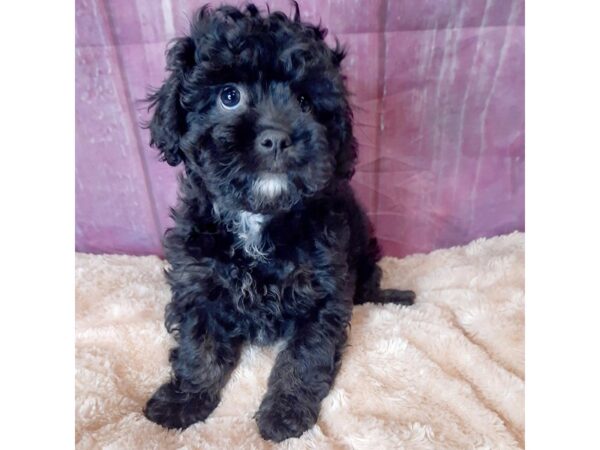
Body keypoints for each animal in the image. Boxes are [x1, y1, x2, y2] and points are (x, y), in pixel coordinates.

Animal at [143, 1, 414, 442]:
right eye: (229, 96)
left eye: (305, 101)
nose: (275, 138)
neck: (258, 217)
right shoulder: (198, 281)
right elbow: (199, 346)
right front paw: (183, 400)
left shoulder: (323, 288)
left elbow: (305, 356)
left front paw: (285, 413)